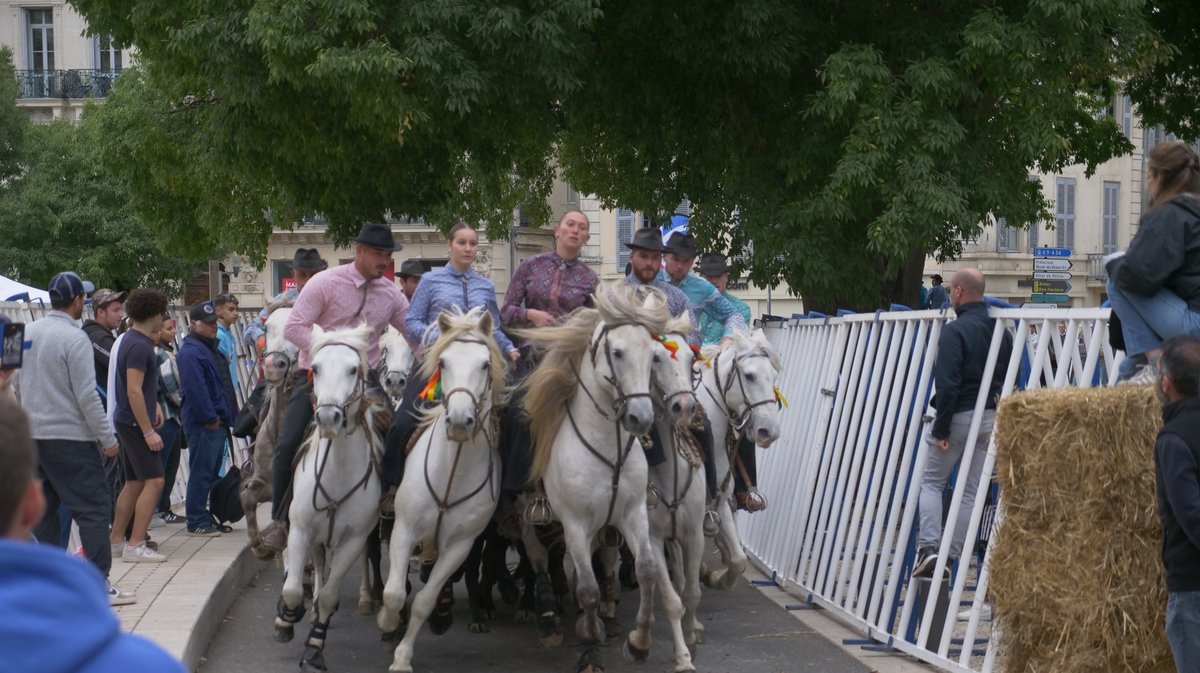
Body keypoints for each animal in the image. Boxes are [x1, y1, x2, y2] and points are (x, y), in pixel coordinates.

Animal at [274, 323, 381, 667]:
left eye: (353, 369)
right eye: (317, 368)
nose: (328, 418)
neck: (337, 471)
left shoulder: (353, 540)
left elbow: (332, 593)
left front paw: (314, 646)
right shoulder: (301, 531)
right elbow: (293, 589)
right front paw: (286, 620)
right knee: (318, 564)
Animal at [374, 309, 506, 671]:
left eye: (485, 364)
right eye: (443, 362)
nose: (460, 422)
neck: (451, 474)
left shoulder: (460, 544)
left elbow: (426, 599)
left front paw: (403, 657)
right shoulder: (404, 529)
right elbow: (394, 592)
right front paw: (387, 622)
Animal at [523, 281, 696, 671]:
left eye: (651, 355)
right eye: (616, 352)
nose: (641, 418)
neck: (608, 450)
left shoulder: (633, 514)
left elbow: (646, 570)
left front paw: (639, 643)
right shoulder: (574, 523)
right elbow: (587, 588)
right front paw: (590, 635)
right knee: (539, 560)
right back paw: (546, 612)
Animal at [700, 328, 782, 587]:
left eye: (773, 377)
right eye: (749, 375)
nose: (769, 432)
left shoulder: (720, 500)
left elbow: (738, 560)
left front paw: (713, 576)